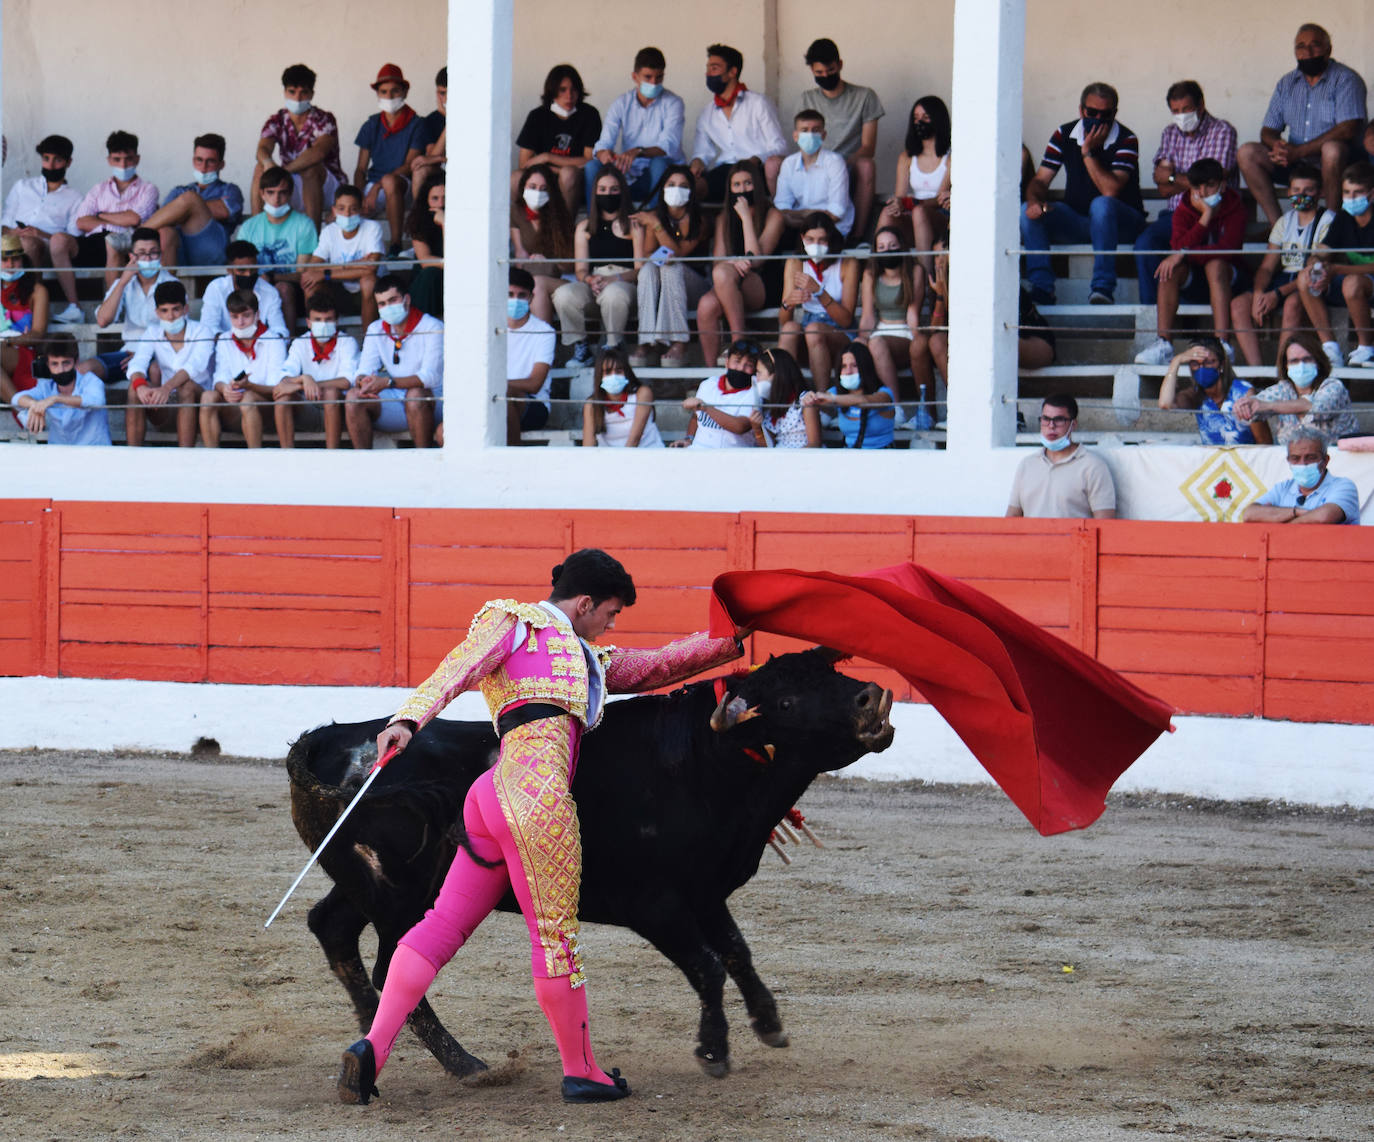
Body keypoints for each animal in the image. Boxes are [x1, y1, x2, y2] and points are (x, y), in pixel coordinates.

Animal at [284, 651, 895, 1082]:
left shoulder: (704, 893)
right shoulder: (656, 906)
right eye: (787, 702)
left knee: (332, 928)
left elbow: (736, 953)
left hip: (363, 885)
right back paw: (462, 1064)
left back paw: (373, 1040)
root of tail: (330, 741)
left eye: (831, 673)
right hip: (403, 899)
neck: (702, 764)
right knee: (395, 964)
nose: (873, 699)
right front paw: (714, 1051)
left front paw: (769, 1024)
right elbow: (707, 965)